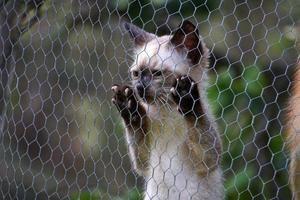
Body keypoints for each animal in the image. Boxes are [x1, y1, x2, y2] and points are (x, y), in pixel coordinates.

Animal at [112, 20, 223, 200]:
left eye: (157, 74)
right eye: (136, 74)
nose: (140, 87)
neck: (166, 112)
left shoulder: (209, 160)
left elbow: (196, 117)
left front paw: (185, 95)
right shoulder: (144, 163)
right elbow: (136, 125)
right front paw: (128, 105)